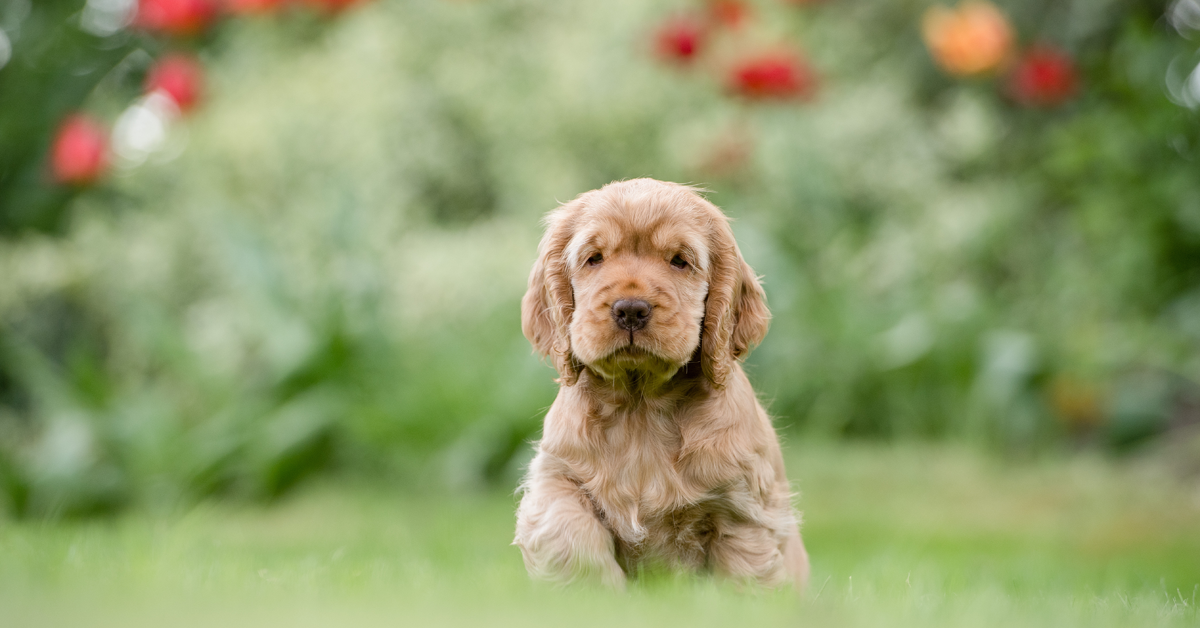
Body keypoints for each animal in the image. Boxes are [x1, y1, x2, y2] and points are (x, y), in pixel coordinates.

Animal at [511, 178, 811, 593]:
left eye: (679, 260)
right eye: (594, 258)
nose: (630, 310)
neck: (640, 404)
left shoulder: (741, 506)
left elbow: (744, 573)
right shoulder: (557, 477)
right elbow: (569, 534)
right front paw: (596, 596)